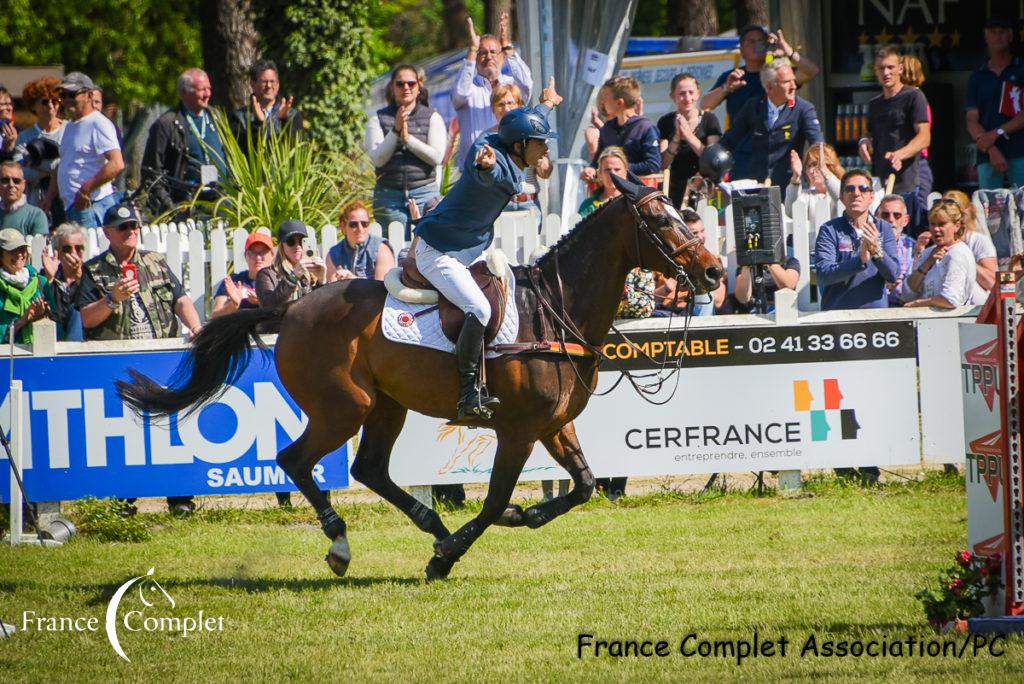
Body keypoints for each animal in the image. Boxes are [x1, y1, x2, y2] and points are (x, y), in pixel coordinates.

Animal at [116, 174, 724, 581]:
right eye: (662, 220)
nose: (715, 271)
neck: (556, 309)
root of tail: (290, 309)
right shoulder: (519, 432)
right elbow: (495, 500)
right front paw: (449, 558)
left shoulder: (553, 427)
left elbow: (584, 485)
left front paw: (519, 516)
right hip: (345, 408)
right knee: (297, 460)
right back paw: (343, 544)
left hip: (387, 405)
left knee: (368, 468)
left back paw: (430, 524)